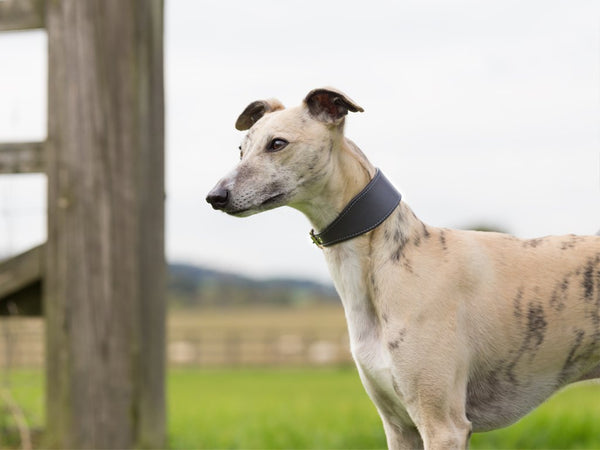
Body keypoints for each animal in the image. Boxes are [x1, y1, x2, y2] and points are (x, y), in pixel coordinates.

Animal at [207, 87, 600, 446]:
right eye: (241, 149)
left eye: (277, 143)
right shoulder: (398, 426)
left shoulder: (443, 425)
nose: (214, 197)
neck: (387, 262)